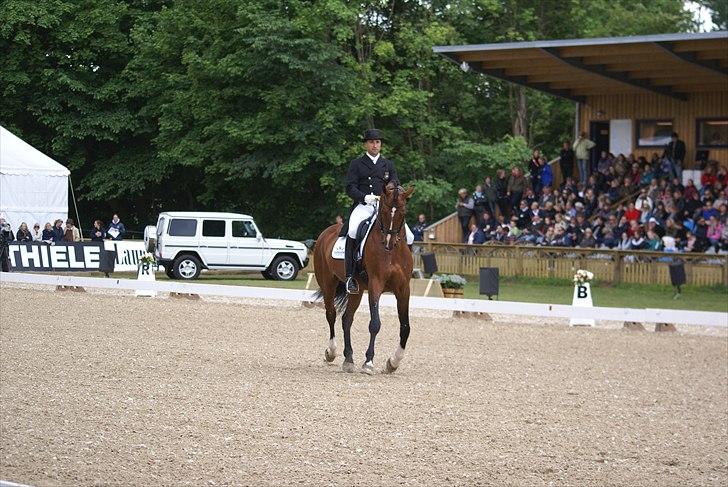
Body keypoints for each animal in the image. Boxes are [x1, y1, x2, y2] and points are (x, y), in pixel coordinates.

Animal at [312, 184, 416, 378]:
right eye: (384, 210)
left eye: (402, 211)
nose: (388, 243)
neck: (392, 253)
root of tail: (326, 232)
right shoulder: (376, 285)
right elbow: (375, 324)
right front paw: (368, 362)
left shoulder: (403, 289)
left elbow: (405, 327)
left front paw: (393, 362)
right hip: (328, 284)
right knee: (331, 315)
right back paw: (331, 352)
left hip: (357, 289)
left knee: (346, 319)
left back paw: (348, 359)